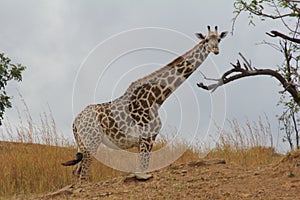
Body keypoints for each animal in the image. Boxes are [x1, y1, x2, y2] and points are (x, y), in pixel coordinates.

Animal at [63, 25, 227, 182]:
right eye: (206, 39)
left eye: (219, 39)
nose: (216, 50)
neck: (156, 98)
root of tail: (75, 121)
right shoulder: (146, 138)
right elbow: (142, 169)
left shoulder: (147, 139)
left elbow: (142, 166)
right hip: (91, 141)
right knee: (82, 174)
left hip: (82, 144)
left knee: (75, 172)